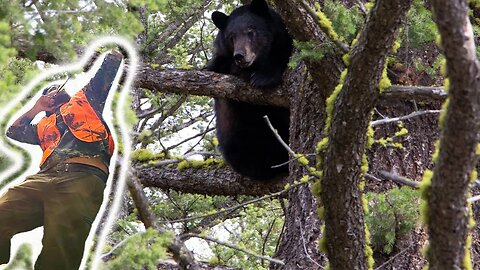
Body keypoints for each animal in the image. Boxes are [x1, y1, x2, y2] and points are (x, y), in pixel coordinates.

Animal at [209, 0, 294, 181]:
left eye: (251, 31)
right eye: (231, 37)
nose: (239, 56)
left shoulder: (285, 43)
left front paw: (263, 77)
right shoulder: (219, 60)